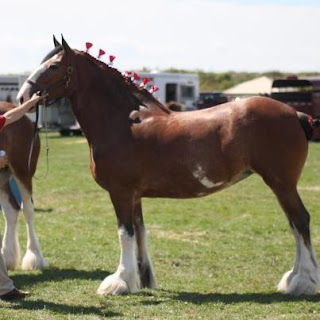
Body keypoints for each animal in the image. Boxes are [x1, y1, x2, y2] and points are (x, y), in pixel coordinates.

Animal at [17, 37, 320, 296]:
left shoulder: (120, 192)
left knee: (300, 221)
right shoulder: (134, 194)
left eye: (53, 66)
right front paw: (141, 279)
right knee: (294, 225)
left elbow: (125, 232)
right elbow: (140, 232)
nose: (23, 97)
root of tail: (295, 113)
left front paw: (118, 282)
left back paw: (302, 282)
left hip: (282, 184)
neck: (122, 121)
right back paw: (293, 279)